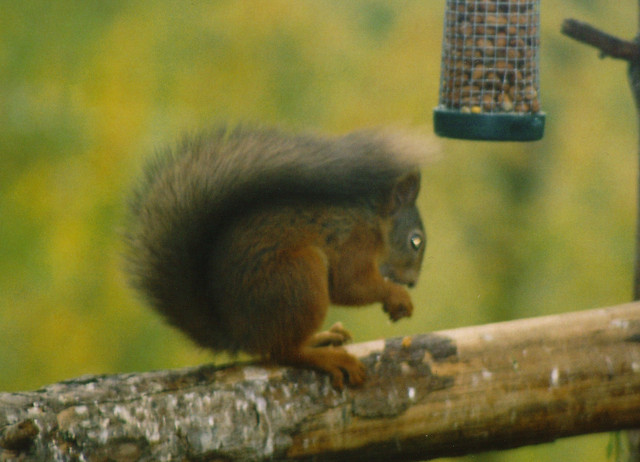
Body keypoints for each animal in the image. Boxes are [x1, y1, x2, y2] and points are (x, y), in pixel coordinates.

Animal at [125, 125, 428, 389]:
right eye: (415, 241)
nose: (413, 282)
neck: (375, 223)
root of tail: (239, 333)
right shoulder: (353, 242)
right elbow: (349, 284)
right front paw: (397, 295)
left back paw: (321, 338)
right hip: (299, 275)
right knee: (283, 352)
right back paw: (325, 357)